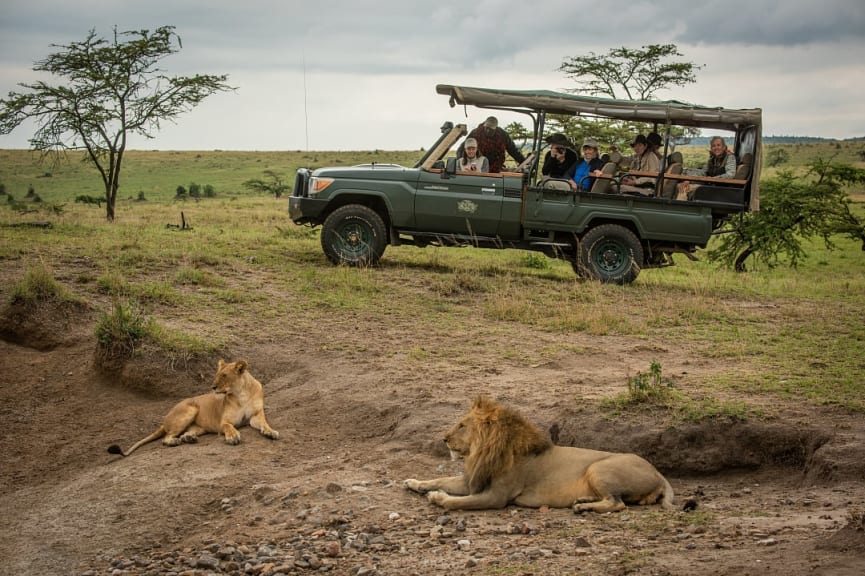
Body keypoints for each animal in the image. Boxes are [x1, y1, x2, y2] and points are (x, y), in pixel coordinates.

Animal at [106, 358, 278, 456]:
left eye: (224, 376)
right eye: (216, 375)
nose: (213, 387)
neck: (241, 393)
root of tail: (165, 420)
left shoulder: (256, 415)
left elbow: (264, 423)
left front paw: (271, 432)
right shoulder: (224, 422)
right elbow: (229, 427)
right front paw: (233, 436)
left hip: (198, 426)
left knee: (184, 433)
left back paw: (189, 438)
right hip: (190, 409)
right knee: (166, 438)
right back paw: (174, 442)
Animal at [404, 396, 676, 512]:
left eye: (461, 425)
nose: (444, 439)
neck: (481, 452)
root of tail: (659, 473)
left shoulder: (496, 496)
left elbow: (458, 501)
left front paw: (437, 498)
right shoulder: (472, 480)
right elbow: (440, 479)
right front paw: (414, 482)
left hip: (598, 468)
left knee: (617, 504)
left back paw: (583, 508)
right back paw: (583, 500)